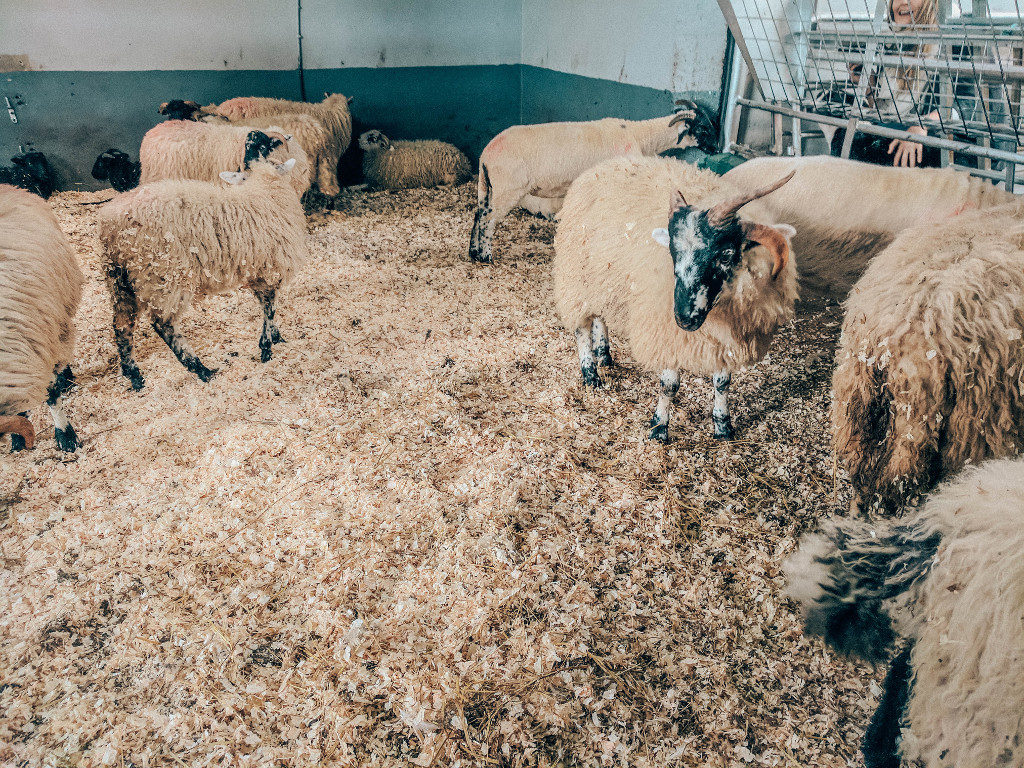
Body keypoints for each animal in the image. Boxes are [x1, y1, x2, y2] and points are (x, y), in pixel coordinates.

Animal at [98, 158, 308, 390]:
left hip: (119, 279)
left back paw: (133, 374)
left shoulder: (259, 273)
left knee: (122, 324)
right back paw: (201, 369)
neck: (264, 190)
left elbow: (267, 308)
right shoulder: (269, 270)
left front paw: (275, 338)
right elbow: (269, 309)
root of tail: (111, 225)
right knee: (163, 324)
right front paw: (267, 347)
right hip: (164, 275)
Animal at [468, 104, 704, 264]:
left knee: (479, 215)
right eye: (702, 128)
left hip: (486, 186)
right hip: (508, 189)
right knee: (488, 220)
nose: (712, 149)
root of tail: (486, 156)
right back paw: (485, 255)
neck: (639, 136)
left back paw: (473, 251)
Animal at [553, 156, 797, 441]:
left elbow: (723, 383)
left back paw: (604, 354)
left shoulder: (728, 336)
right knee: (581, 326)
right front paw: (659, 428)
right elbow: (669, 385)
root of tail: (605, 164)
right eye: (672, 252)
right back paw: (591, 373)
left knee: (601, 315)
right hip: (576, 279)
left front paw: (723, 426)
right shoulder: (669, 333)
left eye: (726, 255)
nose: (684, 318)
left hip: (603, 278)